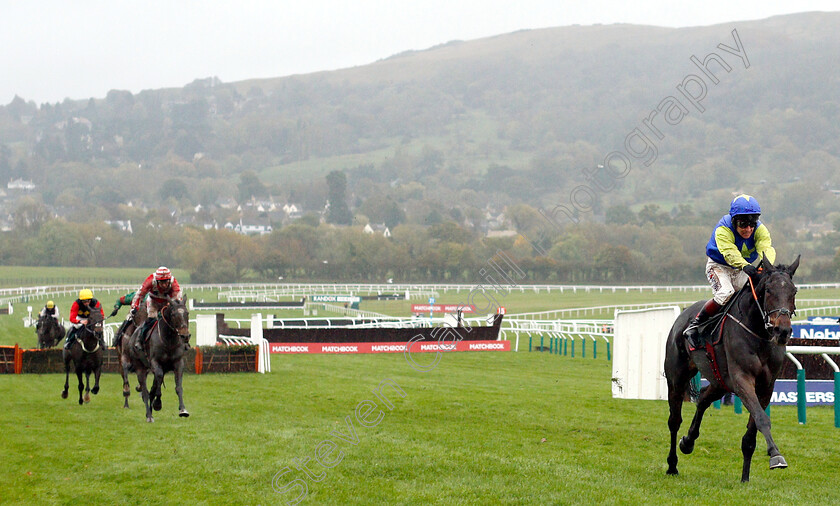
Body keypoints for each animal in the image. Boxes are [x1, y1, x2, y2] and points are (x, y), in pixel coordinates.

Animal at [668, 255, 796, 480]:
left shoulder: (766, 386)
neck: (759, 334)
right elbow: (762, 419)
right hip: (676, 377)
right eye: (768, 290)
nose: (782, 331)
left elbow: (751, 433)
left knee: (703, 398)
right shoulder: (742, 379)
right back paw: (672, 465)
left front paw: (745, 477)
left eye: (794, 291)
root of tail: (682, 318)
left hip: (720, 381)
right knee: (674, 420)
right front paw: (776, 456)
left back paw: (688, 442)